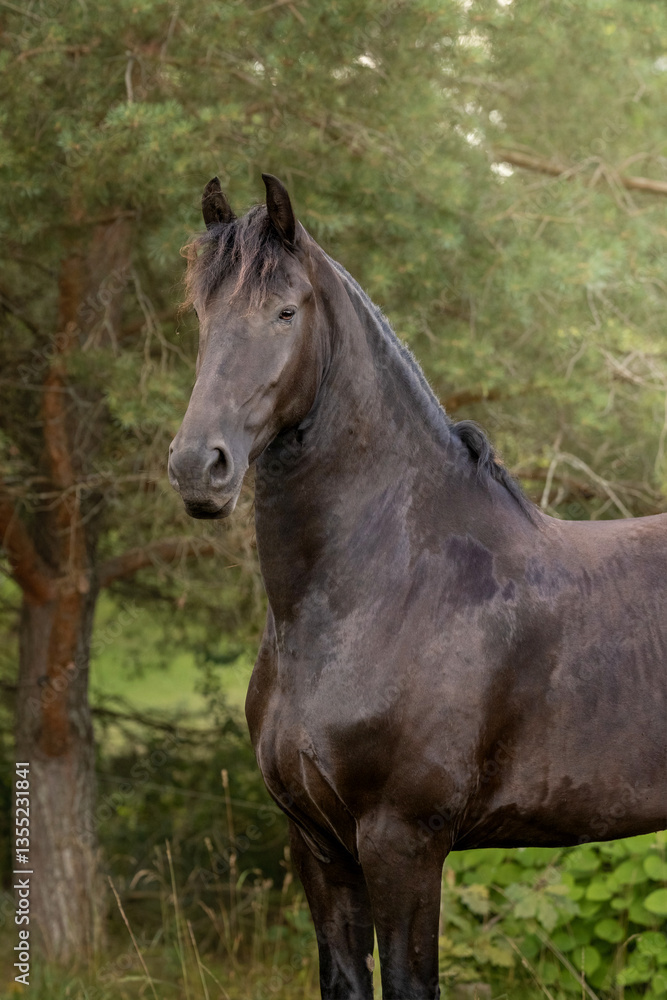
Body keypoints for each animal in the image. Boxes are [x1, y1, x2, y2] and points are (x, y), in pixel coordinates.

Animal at [168, 174, 667, 999]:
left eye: (285, 310)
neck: (388, 585)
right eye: (200, 313)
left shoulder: (402, 841)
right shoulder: (318, 847)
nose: (196, 467)